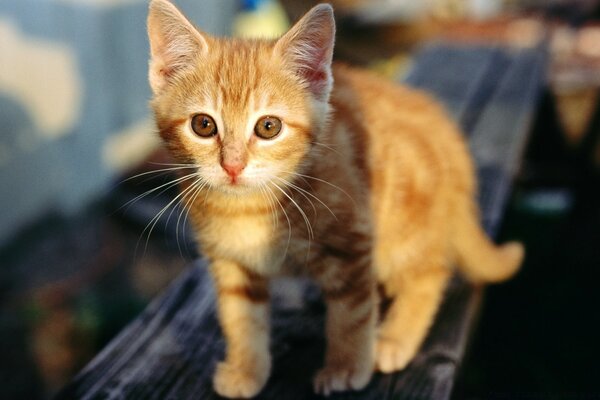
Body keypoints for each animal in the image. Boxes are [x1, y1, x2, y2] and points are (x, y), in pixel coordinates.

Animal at [146, 0, 524, 396]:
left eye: (268, 127)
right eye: (203, 125)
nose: (232, 166)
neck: (250, 207)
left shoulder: (352, 240)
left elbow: (351, 313)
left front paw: (347, 367)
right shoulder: (230, 260)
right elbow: (239, 316)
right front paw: (247, 370)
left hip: (405, 223)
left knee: (431, 271)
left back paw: (395, 337)